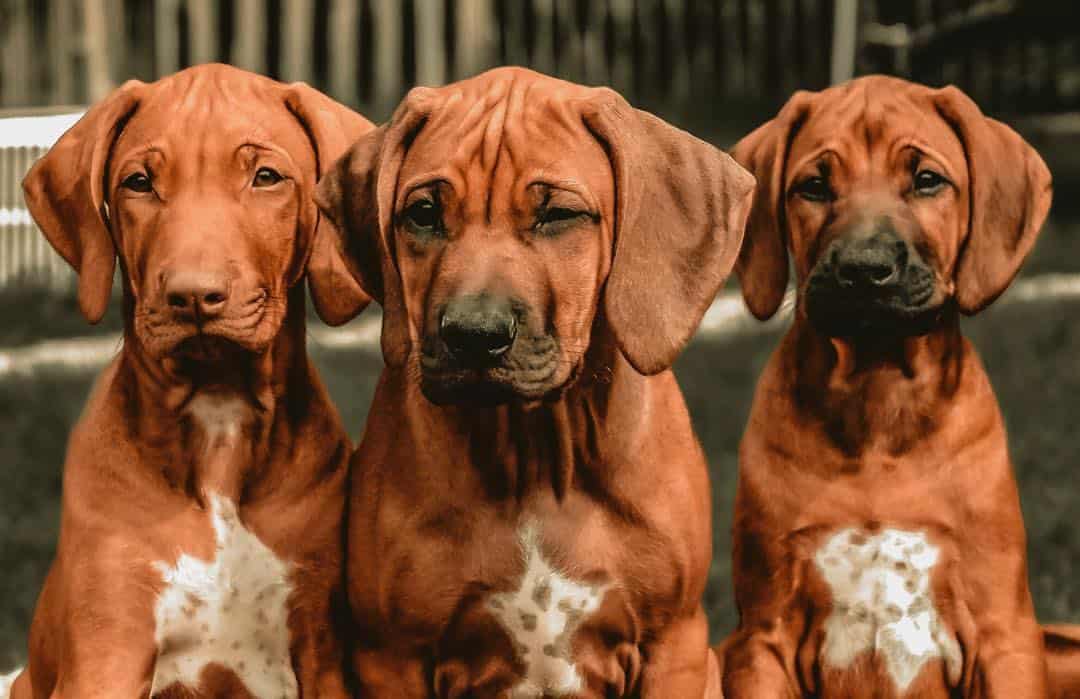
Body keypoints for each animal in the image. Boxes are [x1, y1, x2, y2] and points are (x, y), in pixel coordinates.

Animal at [10, 62, 373, 695]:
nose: (193, 296)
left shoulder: (322, 651)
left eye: (266, 178)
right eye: (138, 183)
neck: (217, 413)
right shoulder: (107, 652)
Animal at [308, 66, 756, 699]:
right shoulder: (392, 657)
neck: (534, 454)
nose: (474, 335)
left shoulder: (674, 646)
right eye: (423, 213)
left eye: (558, 216)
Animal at [712, 74, 1058, 695]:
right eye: (813, 187)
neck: (877, 397)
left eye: (927, 181)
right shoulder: (762, 638)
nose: (864, 268)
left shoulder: (1004, 632)